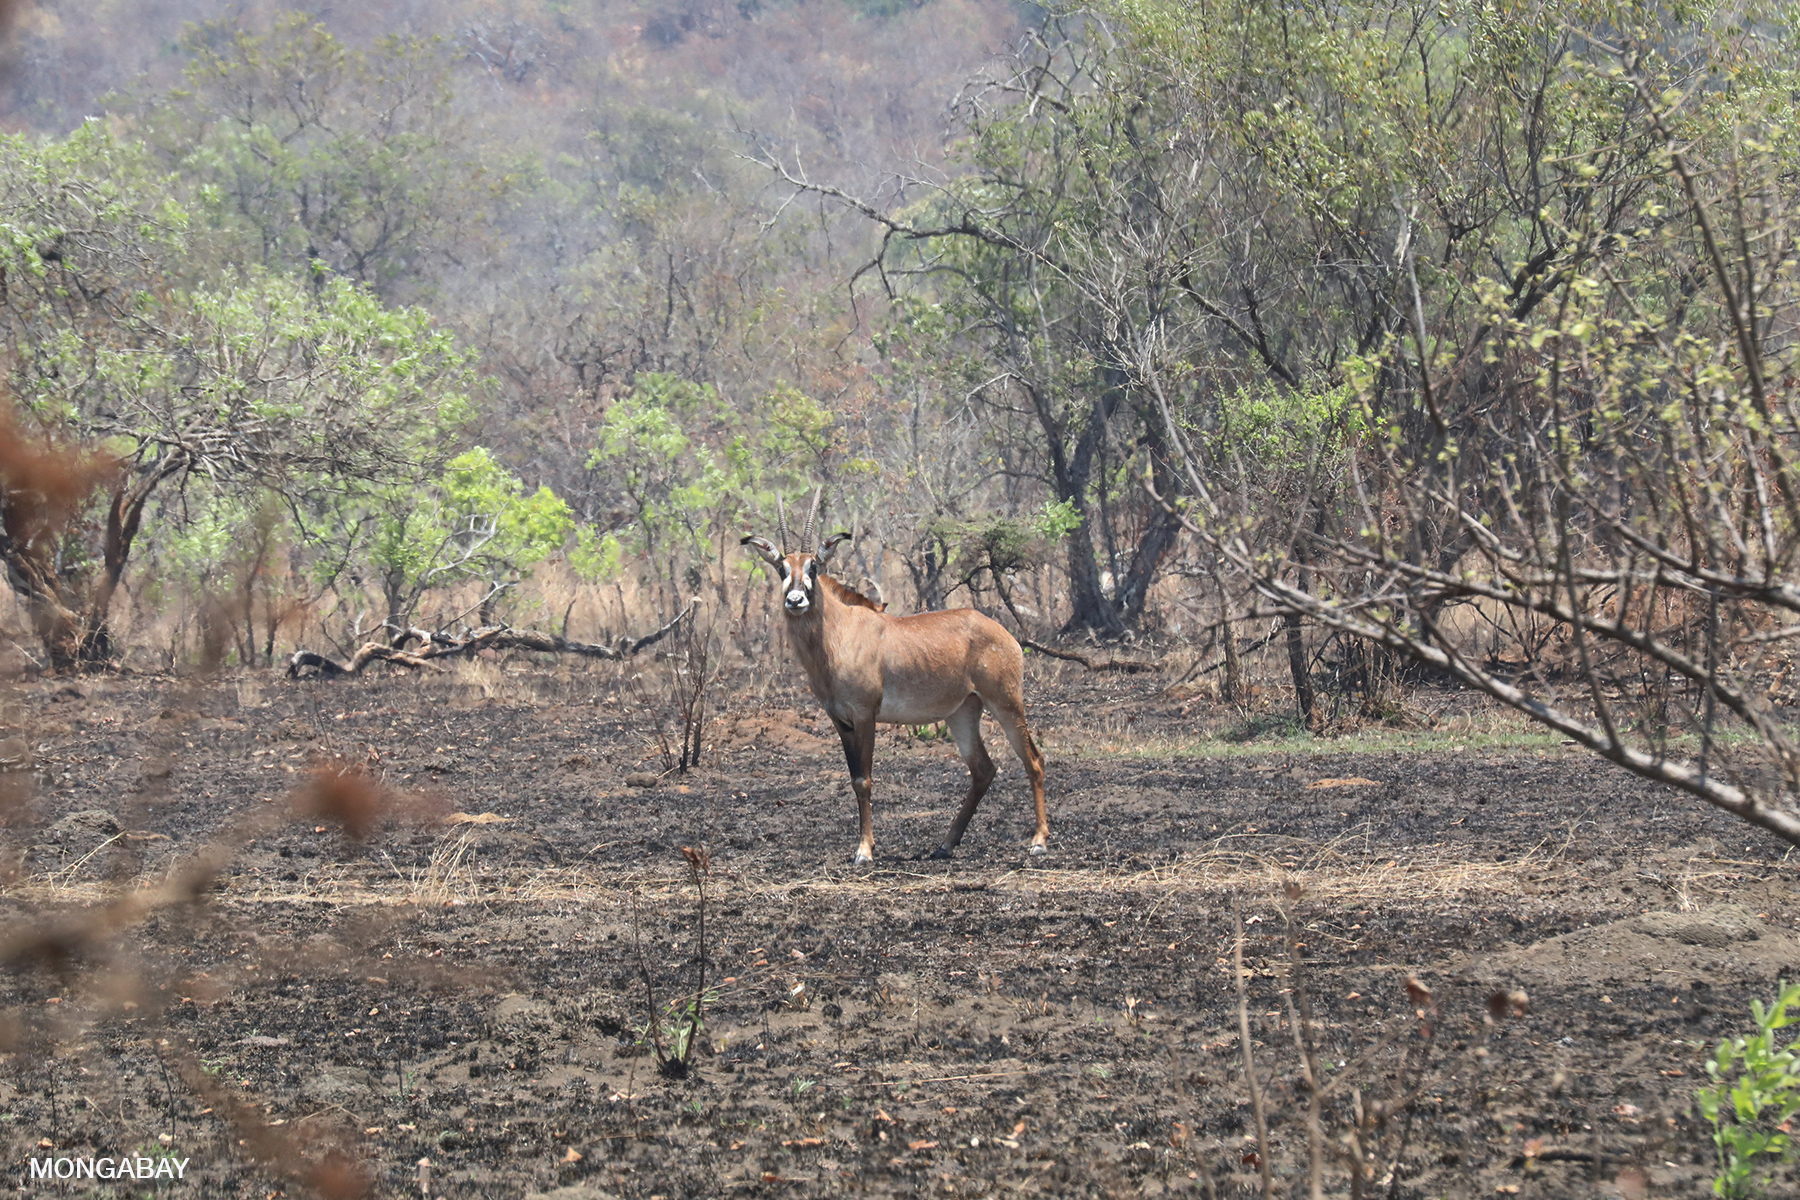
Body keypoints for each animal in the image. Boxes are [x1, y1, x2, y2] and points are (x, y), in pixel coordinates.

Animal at [742, 516, 1048, 866]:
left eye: (814, 566)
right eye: (782, 568)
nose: (795, 601)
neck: (837, 634)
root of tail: (1004, 634)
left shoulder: (865, 715)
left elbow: (864, 780)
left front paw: (864, 850)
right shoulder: (840, 721)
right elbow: (853, 779)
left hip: (1005, 703)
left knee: (1033, 760)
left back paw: (1039, 842)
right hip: (962, 713)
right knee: (983, 769)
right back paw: (946, 844)